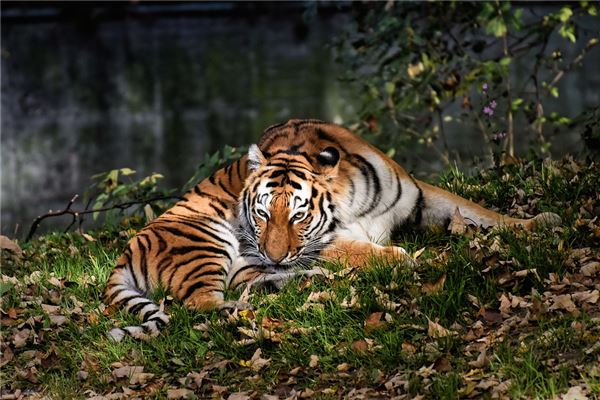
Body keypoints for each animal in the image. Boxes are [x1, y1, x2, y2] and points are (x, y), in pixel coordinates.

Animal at [104, 119, 564, 340]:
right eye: (262, 215)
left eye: (297, 216)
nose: (272, 255)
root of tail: (125, 253)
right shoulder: (324, 241)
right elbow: (356, 249)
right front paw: (396, 259)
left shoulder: (420, 199)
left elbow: (478, 211)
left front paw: (539, 221)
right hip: (205, 239)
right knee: (200, 304)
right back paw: (242, 309)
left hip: (242, 264)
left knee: (251, 284)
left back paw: (302, 284)